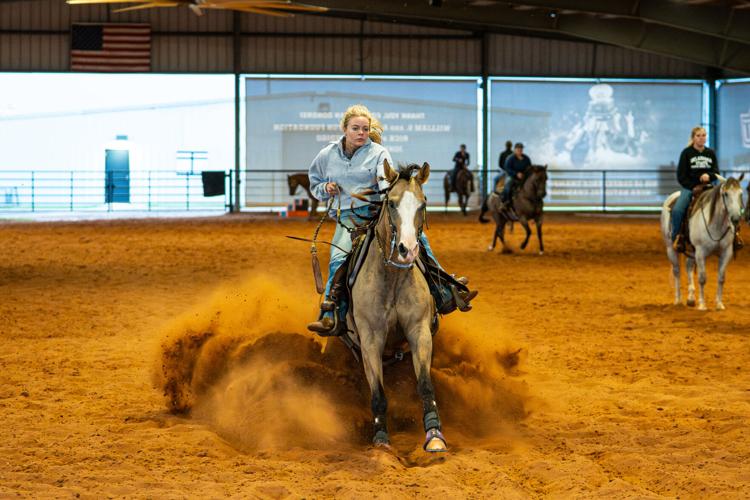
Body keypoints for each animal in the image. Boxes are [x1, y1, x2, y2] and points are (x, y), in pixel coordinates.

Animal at [345, 159, 447, 452]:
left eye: (423, 204)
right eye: (391, 203)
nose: (407, 249)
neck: (392, 277)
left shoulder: (419, 330)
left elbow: (425, 385)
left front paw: (434, 435)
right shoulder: (370, 339)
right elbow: (378, 392)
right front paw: (381, 438)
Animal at [661, 176, 744, 311]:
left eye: (741, 194)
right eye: (726, 194)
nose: (736, 219)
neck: (715, 224)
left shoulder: (726, 252)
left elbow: (721, 278)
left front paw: (719, 304)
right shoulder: (700, 252)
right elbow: (702, 278)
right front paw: (702, 305)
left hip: (691, 250)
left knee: (689, 266)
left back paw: (690, 299)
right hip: (670, 248)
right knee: (677, 271)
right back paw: (678, 300)